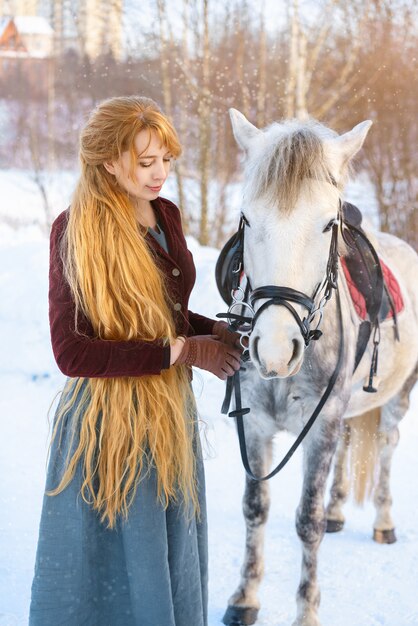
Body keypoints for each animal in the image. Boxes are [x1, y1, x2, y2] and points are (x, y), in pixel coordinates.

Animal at [222, 109, 418, 624]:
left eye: (329, 224)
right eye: (246, 219)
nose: (274, 349)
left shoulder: (320, 428)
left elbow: (306, 521)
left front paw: (306, 610)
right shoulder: (254, 427)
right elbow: (255, 508)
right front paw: (245, 597)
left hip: (398, 396)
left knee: (386, 446)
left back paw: (384, 521)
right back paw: (338, 511)